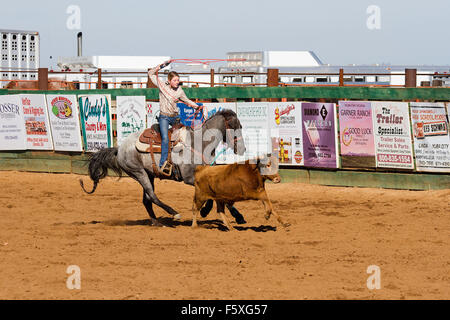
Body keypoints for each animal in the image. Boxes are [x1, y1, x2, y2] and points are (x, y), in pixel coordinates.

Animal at [80, 109, 246, 226]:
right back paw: (174, 213)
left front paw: (238, 217)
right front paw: (205, 211)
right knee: (152, 196)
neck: (199, 143)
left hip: (149, 174)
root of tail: (119, 148)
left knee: (147, 200)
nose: (243, 149)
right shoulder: (189, 178)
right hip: (138, 173)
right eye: (234, 126)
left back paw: (156, 222)